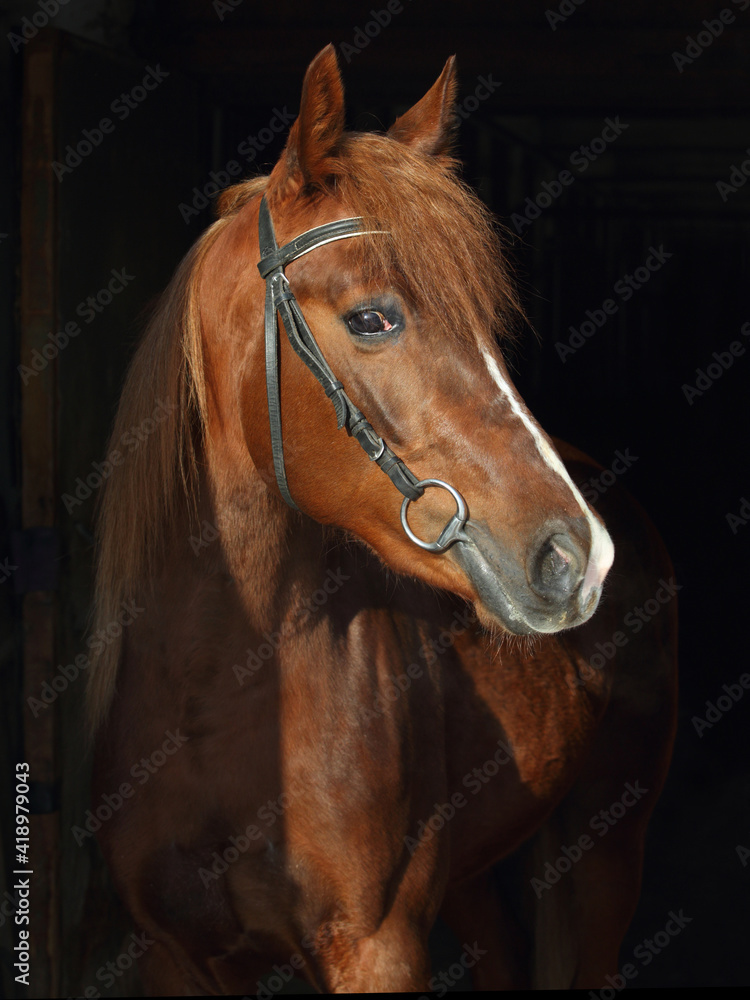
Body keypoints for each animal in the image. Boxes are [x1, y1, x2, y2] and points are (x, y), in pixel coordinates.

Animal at [87, 45, 678, 993]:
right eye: (372, 318)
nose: (576, 556)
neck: (216, 701)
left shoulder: (380, 948)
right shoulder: (173, 956)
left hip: (605, 846)